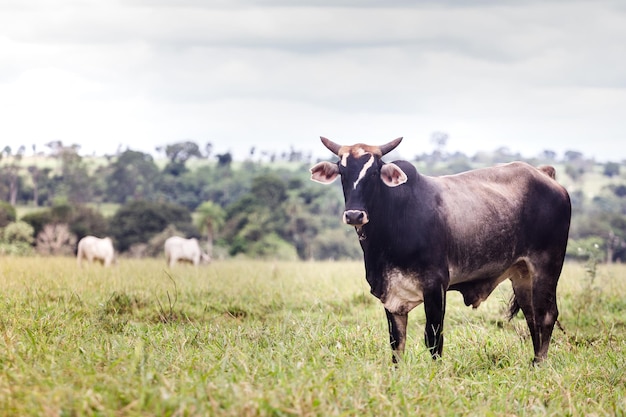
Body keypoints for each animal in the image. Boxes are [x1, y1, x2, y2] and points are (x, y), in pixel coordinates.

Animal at [310, 136, 568, 360]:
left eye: (373, 173)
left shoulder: (435, 285)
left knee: (546, 316)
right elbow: (397, 342)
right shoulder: (391, 295)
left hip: (547, 267)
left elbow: (433, 339)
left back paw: (539, 365)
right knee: (532, 317)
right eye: (342, 173)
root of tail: (546, 175)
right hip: (522, 275)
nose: (354, 215)